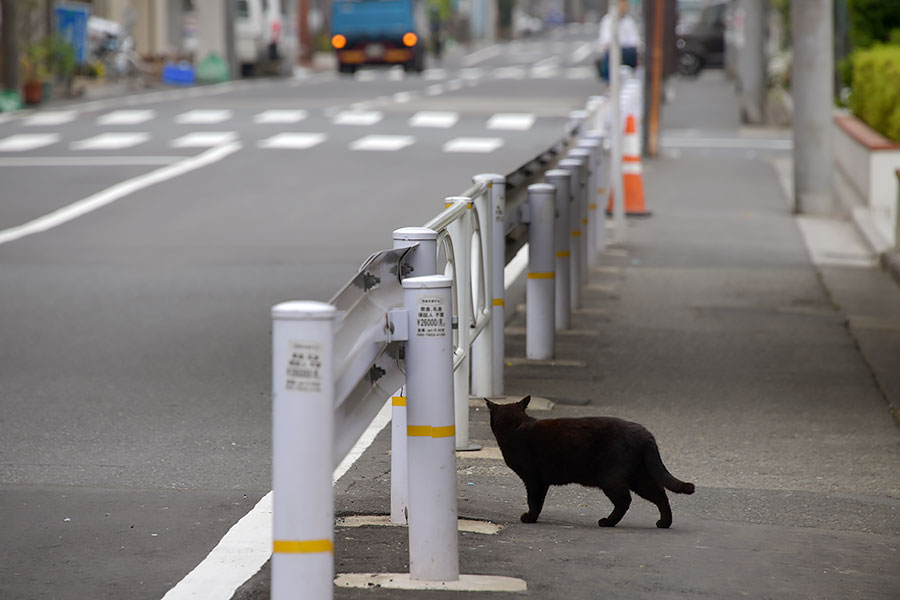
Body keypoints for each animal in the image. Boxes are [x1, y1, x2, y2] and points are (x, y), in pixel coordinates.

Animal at [486, 398, 696, 528]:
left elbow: (534, 501)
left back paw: (607, 522)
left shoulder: (533, 479)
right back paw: (664, 523)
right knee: (660, 495)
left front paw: (530, 518)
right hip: (639, 478)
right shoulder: (541, 481)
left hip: (611, 478)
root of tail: (646, 434)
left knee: (625, 500)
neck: (515, 426)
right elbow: (538, 501)